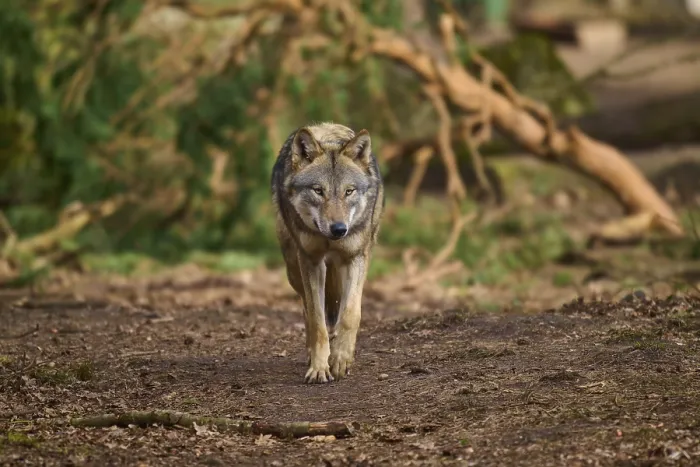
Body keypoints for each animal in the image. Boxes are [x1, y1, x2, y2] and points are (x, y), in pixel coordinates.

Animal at [271, 122, 384, 384]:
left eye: (349, 191)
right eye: (318, 191)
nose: (339, 229)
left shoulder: (356, 257)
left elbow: (351, 314)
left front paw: (341, 359)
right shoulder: (311, 261)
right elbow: (317, 321)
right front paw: (319, 368)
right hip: (294, 269)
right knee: (307, 309)